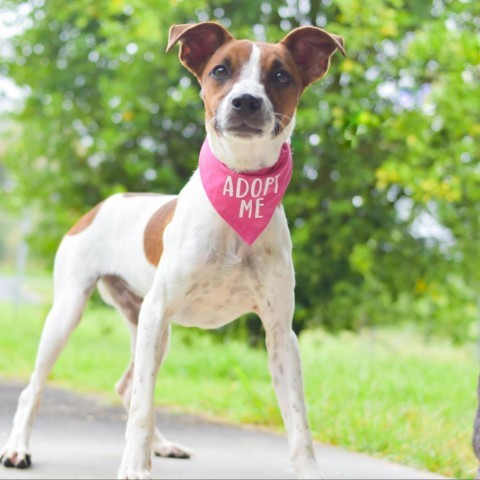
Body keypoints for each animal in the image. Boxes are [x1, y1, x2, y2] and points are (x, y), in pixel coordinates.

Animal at [0, 21, 344, 480]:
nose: (246, 101)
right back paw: (19, 448)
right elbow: (143, 407)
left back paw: (161, 445)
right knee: (38, 388)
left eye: (281, 76)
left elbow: (298, 418)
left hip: (146, 325)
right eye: (220, 70)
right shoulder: (159, 310)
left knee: (127, 385)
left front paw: (308, 469)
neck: (240, 190)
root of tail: (105, 203)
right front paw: (133, 467)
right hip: (74, 311)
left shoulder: (279, 333)